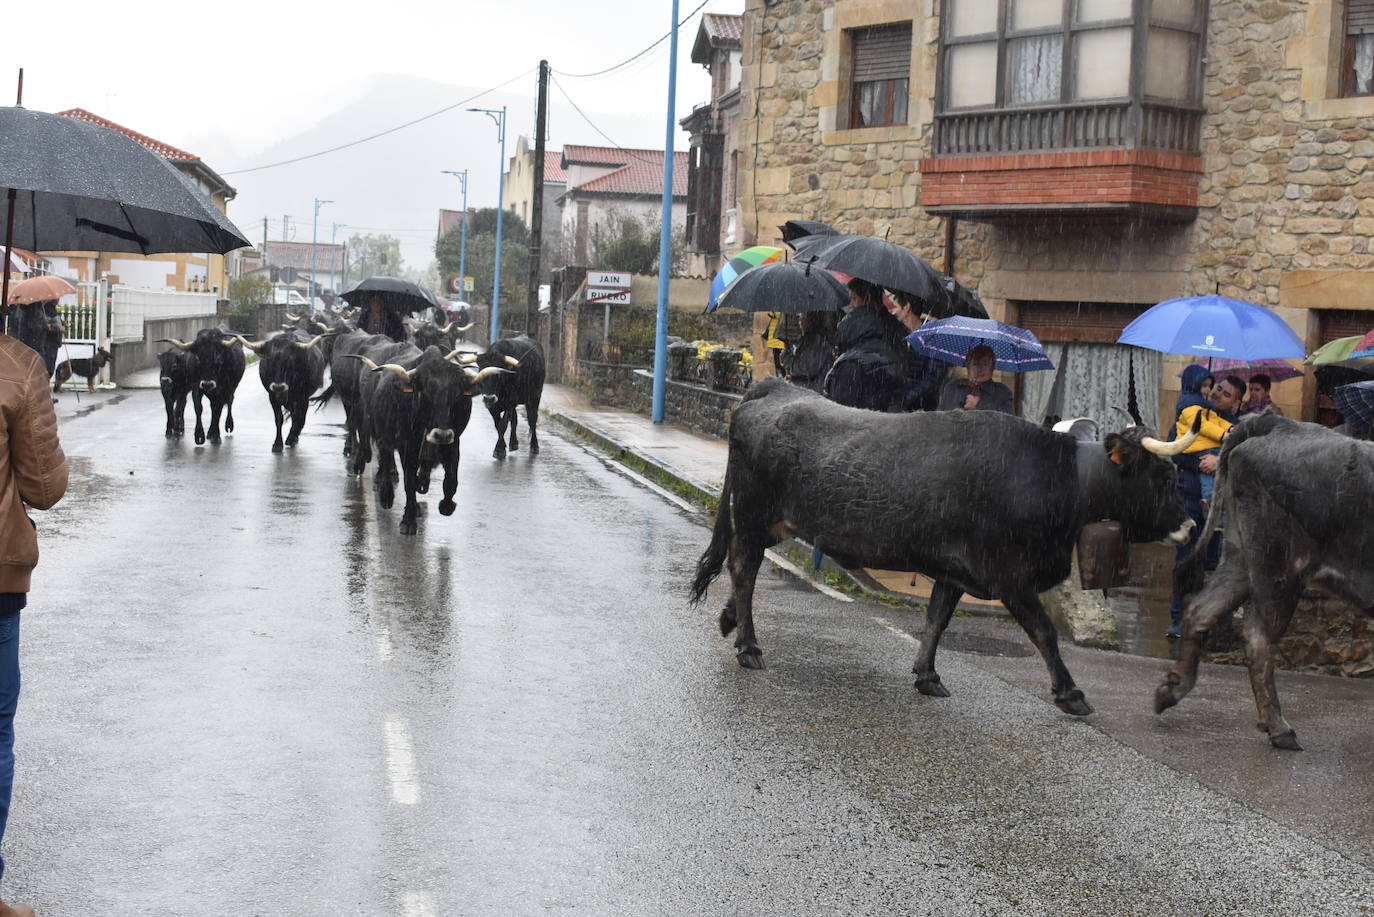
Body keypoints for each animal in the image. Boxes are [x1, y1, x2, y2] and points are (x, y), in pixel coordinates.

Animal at [351, 351, 508, 538]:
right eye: (425, 394)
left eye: (457, 396)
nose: (441, 434)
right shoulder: (408, 444)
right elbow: (409, 480)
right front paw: (408, 521)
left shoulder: (453, 443)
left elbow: (451, 480)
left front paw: (446, 505)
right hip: (385, 437)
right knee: (387, 460)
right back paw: (387, 496)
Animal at [692, 379, 1198, 714]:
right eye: (1164, 476)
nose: (1192, 526)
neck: (1056, 477)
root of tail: (774, 387)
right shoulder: (1009, 574)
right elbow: (1044, 633)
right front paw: (1070, 693)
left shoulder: (956, 569)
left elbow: (936, 620)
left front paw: (928, 675)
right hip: (753, 515)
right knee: (744, 569)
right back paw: (749, 646)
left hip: (775, 523)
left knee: (741, 568)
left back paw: (730, 620)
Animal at [1148, 420, 1374, 747]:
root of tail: (1279, 424)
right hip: (1280, 568)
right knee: (1258, 637)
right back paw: (1279, 728)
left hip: (1241, 558)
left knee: (1201, 611)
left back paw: (1171, 689)